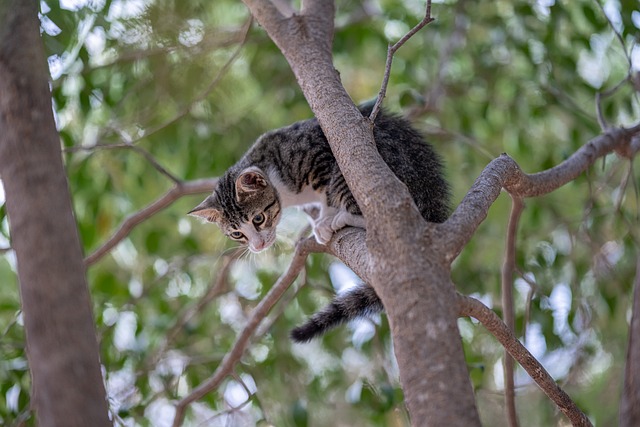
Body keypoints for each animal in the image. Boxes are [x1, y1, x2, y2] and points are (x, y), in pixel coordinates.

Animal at [190, 104, 450, 344]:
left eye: (258, 219)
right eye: (236, 234)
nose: (258, 245)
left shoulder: (322, 157)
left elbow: (328, 195)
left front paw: (326, 217)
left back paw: (342, 218)